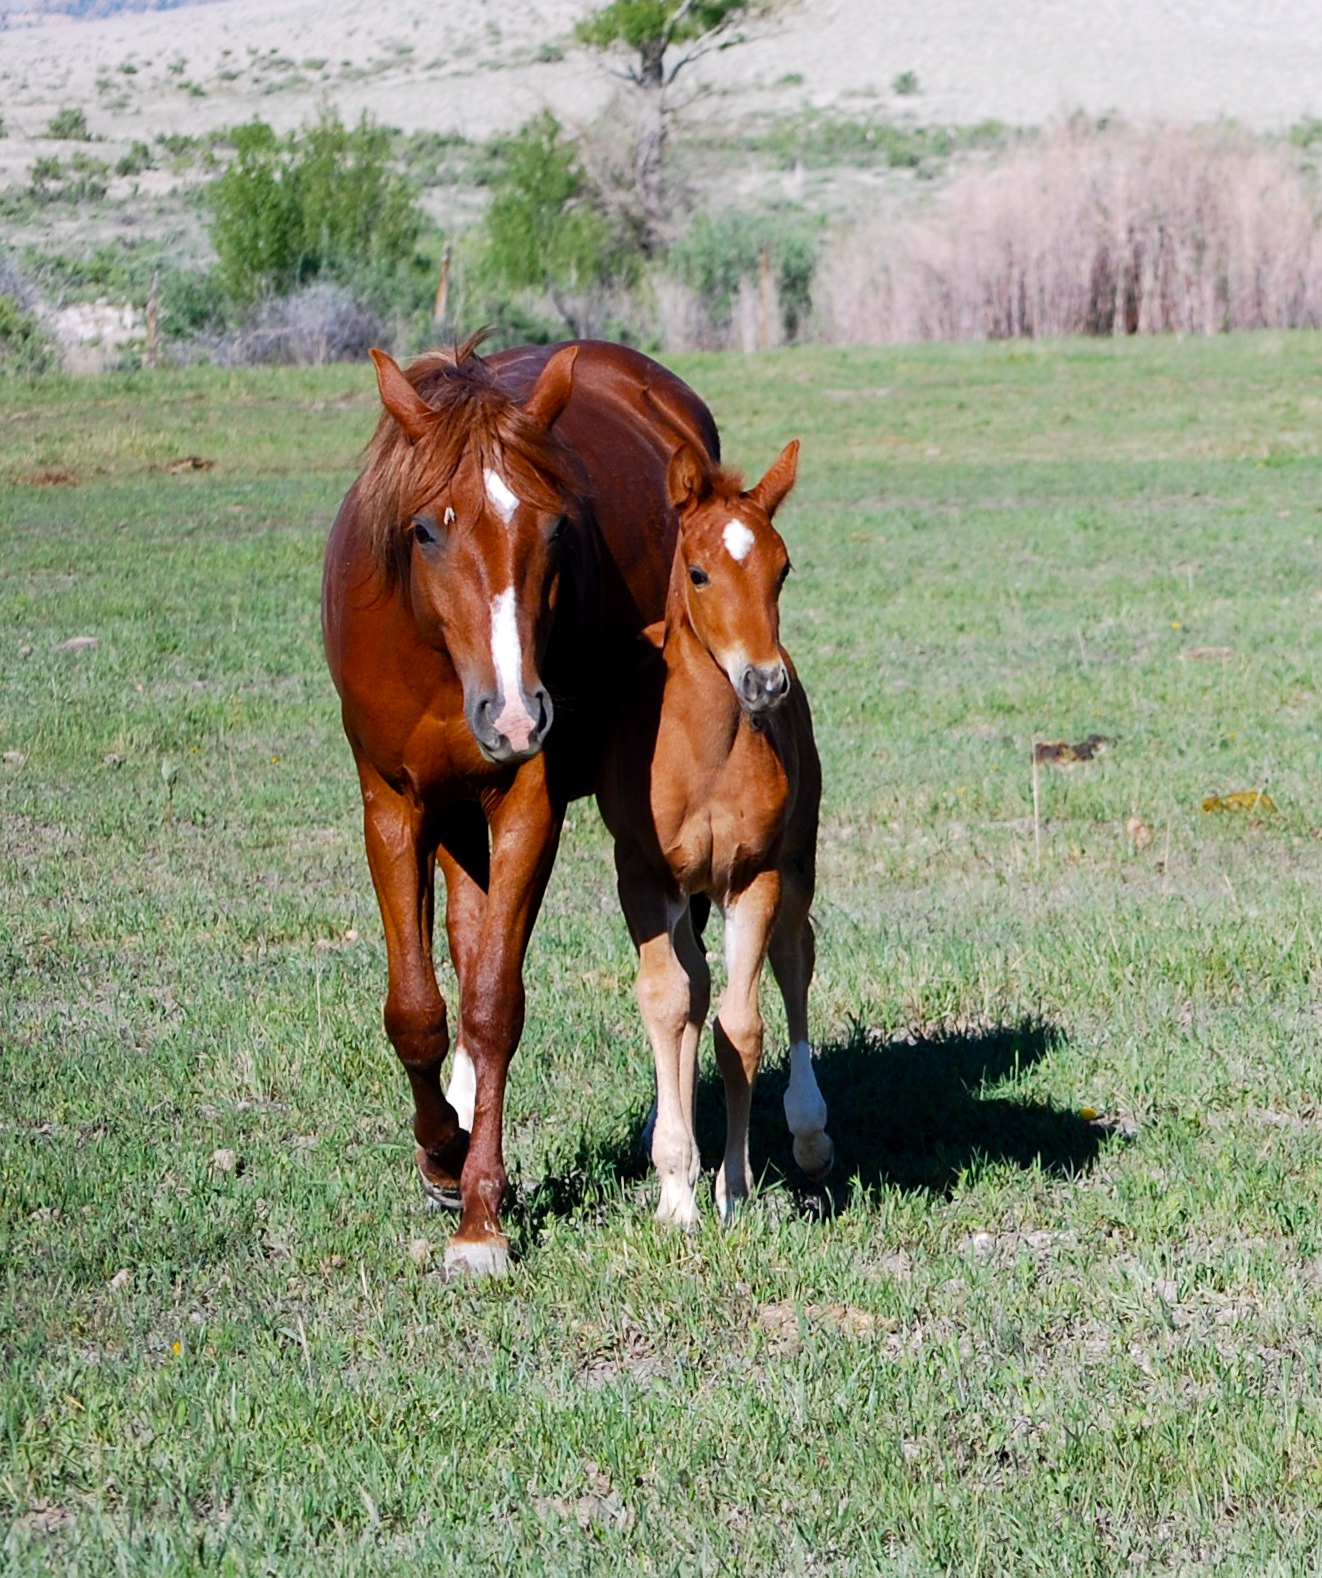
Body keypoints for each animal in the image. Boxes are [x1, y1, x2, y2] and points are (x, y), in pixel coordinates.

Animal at [322, 333, 719, 1277]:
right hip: (457, 818)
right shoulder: (392, 806)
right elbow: (419, 1010)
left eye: (554, 528)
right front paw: (442, 1154)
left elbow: (493, 1006)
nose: (513, 716)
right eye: (426, 528)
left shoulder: (527, 802)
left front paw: (479, 1219)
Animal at [596, 428, 834, 1226]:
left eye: (783, 569)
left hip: (796, 861)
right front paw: (677, 1191)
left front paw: (734, 1185)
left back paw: (809, 1132)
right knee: (693, 988)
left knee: (794, 956)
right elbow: (671, 1003)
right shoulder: (644, 877)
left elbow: (743, 1027)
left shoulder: (750, 876)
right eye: (699, 573)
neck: (703, 753)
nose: (764, 683)